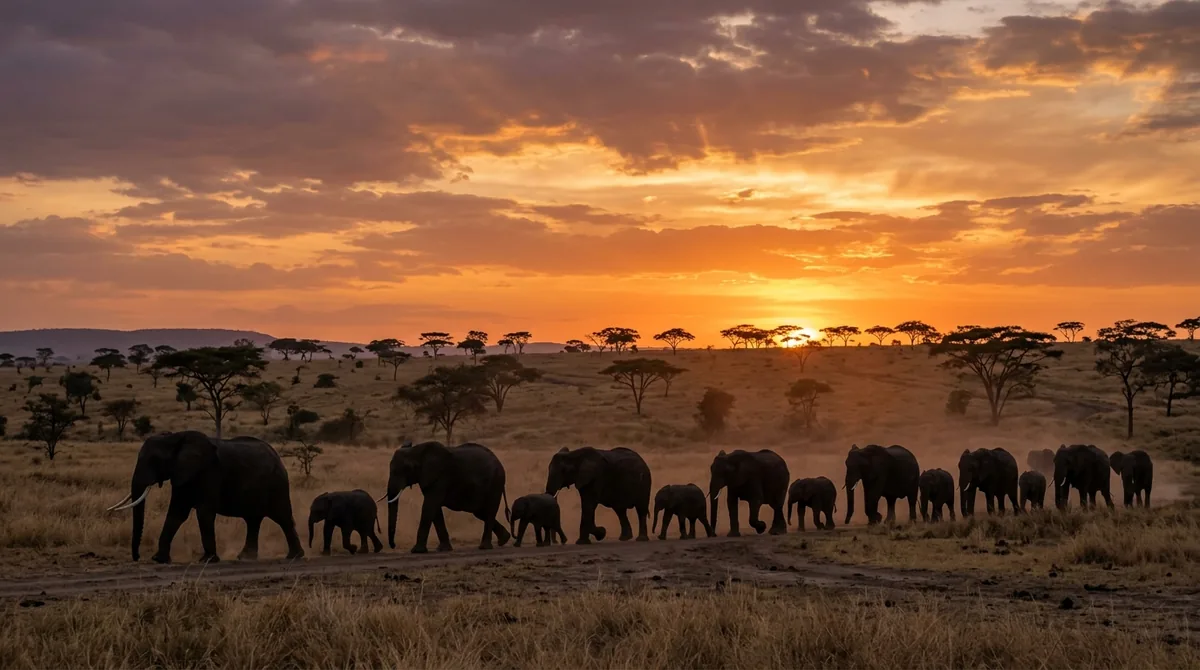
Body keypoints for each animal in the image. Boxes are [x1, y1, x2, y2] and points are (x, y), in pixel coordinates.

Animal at [105, 431, 304, 563]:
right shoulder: (183, 475)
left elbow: (204, 513)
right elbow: (176, 513)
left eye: (154, 460)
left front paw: (208, 560)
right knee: (253, 520)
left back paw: (294, 557)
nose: (136, 557)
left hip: (277, 484)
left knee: (282, 518)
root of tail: (277, 457)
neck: (175, 438)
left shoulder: (208, 472)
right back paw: (245, 557)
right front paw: (159, 559)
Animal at [383, 441, 511, 553]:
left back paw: (485, 547)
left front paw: (417, 551)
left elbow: (429, 507)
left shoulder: (439, 478)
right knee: (480, 512)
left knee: (489, 511)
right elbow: (435, 511)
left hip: (496, 482)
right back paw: (504, 539)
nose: (393, 545)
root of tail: (499, 462)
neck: (416, 451)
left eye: (400, 470)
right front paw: (443, 549)